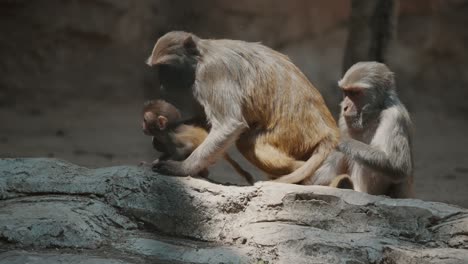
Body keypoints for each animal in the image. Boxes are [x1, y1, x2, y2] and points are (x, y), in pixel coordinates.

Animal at [146, 31, 340, 184]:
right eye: (158, 70)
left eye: (165, 68)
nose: (162, 84)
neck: (203, 55)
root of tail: (328, 131)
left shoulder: (211, 73)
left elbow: (229, 124)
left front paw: (182, 168)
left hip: (292, 133)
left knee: (246, 141)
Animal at [310, 62, 414, 198]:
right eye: (346, 92)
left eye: (355, 93)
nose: (345, 107)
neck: (373, 114)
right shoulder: (344, 118)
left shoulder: (394, 115)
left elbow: (398, 166)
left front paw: (338, 139)